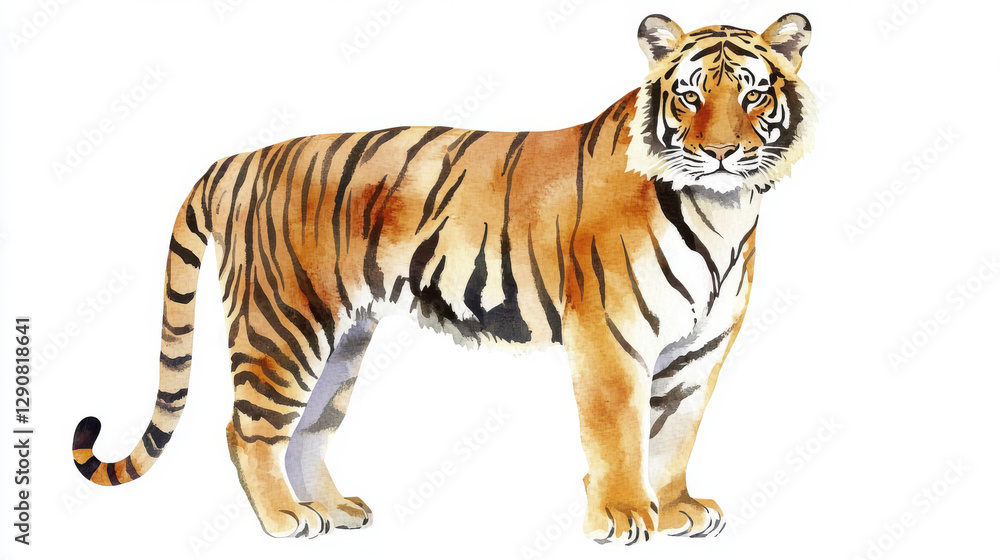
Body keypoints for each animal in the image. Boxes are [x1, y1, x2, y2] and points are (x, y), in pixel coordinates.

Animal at [72, 13, 814, 544]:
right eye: (689, 96)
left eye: (754, 94)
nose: (721, 152)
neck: (722, 209)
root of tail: (241, 159)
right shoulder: (610, 336)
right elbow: (619, 432)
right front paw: (626, 515)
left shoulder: (701, 346)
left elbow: (675, 430)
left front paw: (679, 508)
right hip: (281, 323)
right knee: (246, 428)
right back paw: (284, 519)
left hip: (340, 340)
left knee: (308, 429)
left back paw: (332, 508)